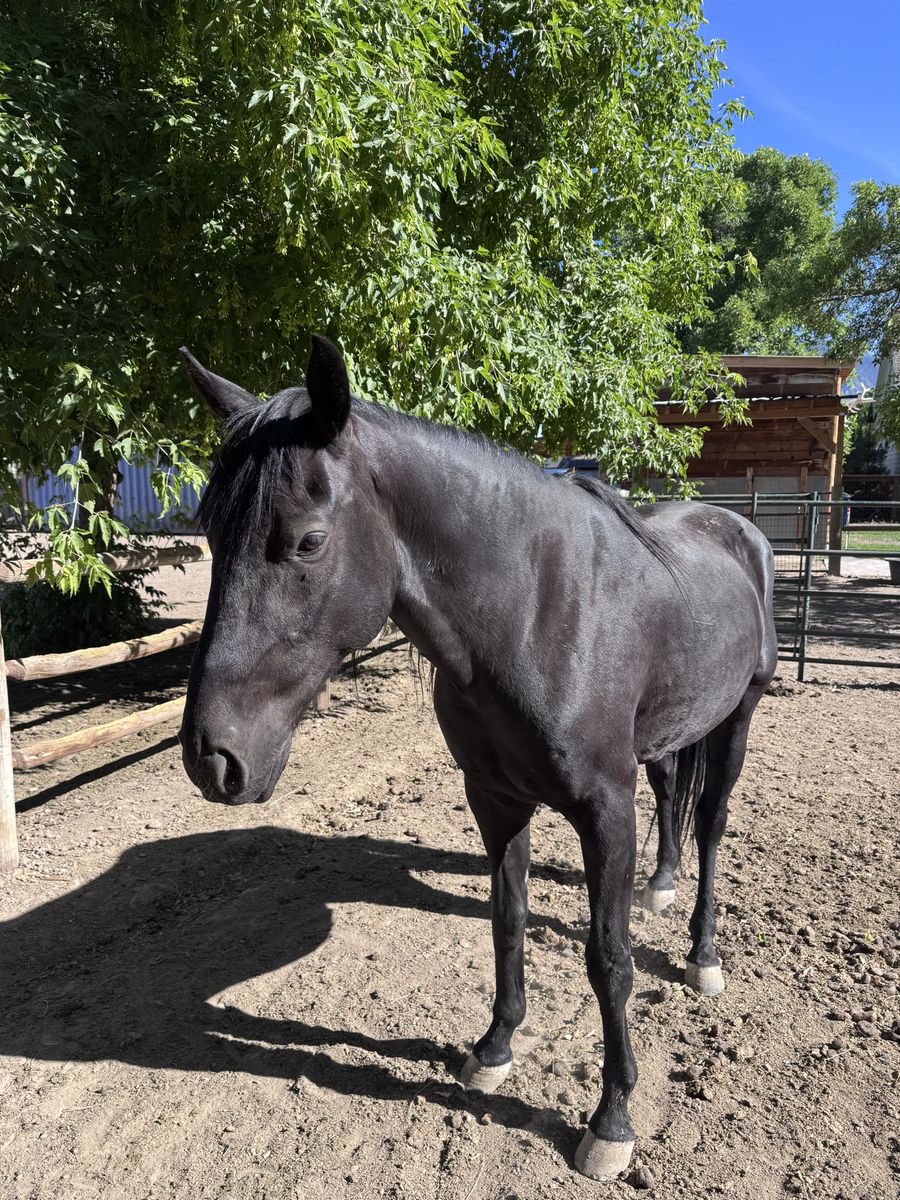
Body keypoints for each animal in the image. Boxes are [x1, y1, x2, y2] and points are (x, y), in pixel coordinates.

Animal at [178, 335, 777, 1180]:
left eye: (309, 540)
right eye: (207, 532)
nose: (212, 758)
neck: (534, 613)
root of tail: (738, 529)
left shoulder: (605, 810)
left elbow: (609, 959)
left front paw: (611, 1120)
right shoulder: (494, 799)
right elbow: (507, 919)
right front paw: (494, 1048)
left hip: (738, 720)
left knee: (714, 826)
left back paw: (702, 955)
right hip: (669, 734)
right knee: (671, 794)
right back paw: (659, 886)